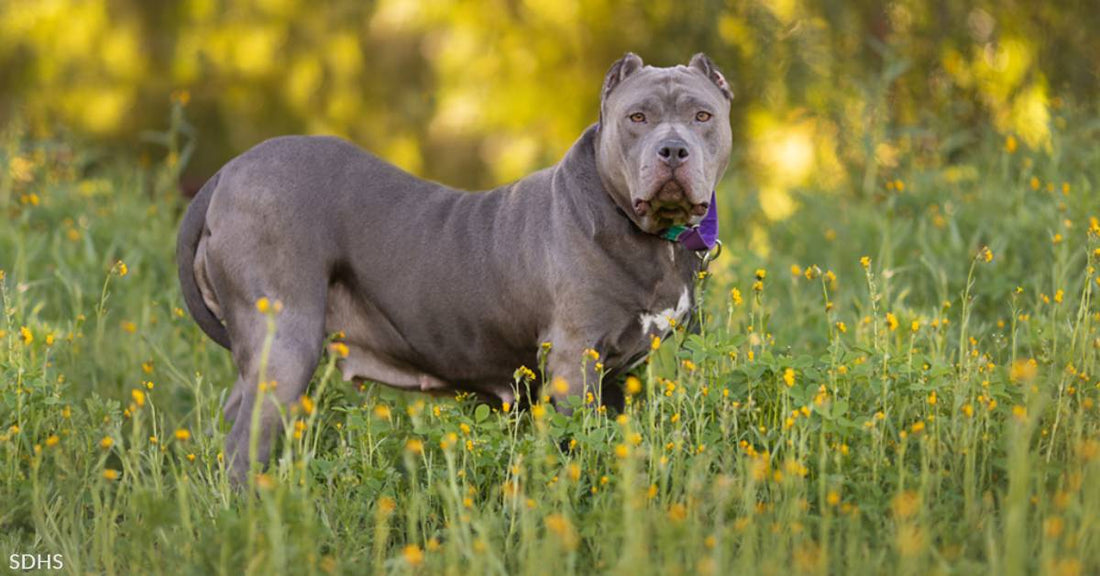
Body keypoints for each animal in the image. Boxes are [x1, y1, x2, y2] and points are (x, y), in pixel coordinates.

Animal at [176, 52, 734, 481]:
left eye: (703, 116)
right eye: (637, 118)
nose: (673, 149)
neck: (651, 235)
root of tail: (228, 172)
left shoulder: (619, 375)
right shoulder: (575, 361)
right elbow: (577, 438)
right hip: (285, 343)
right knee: (243, 448)